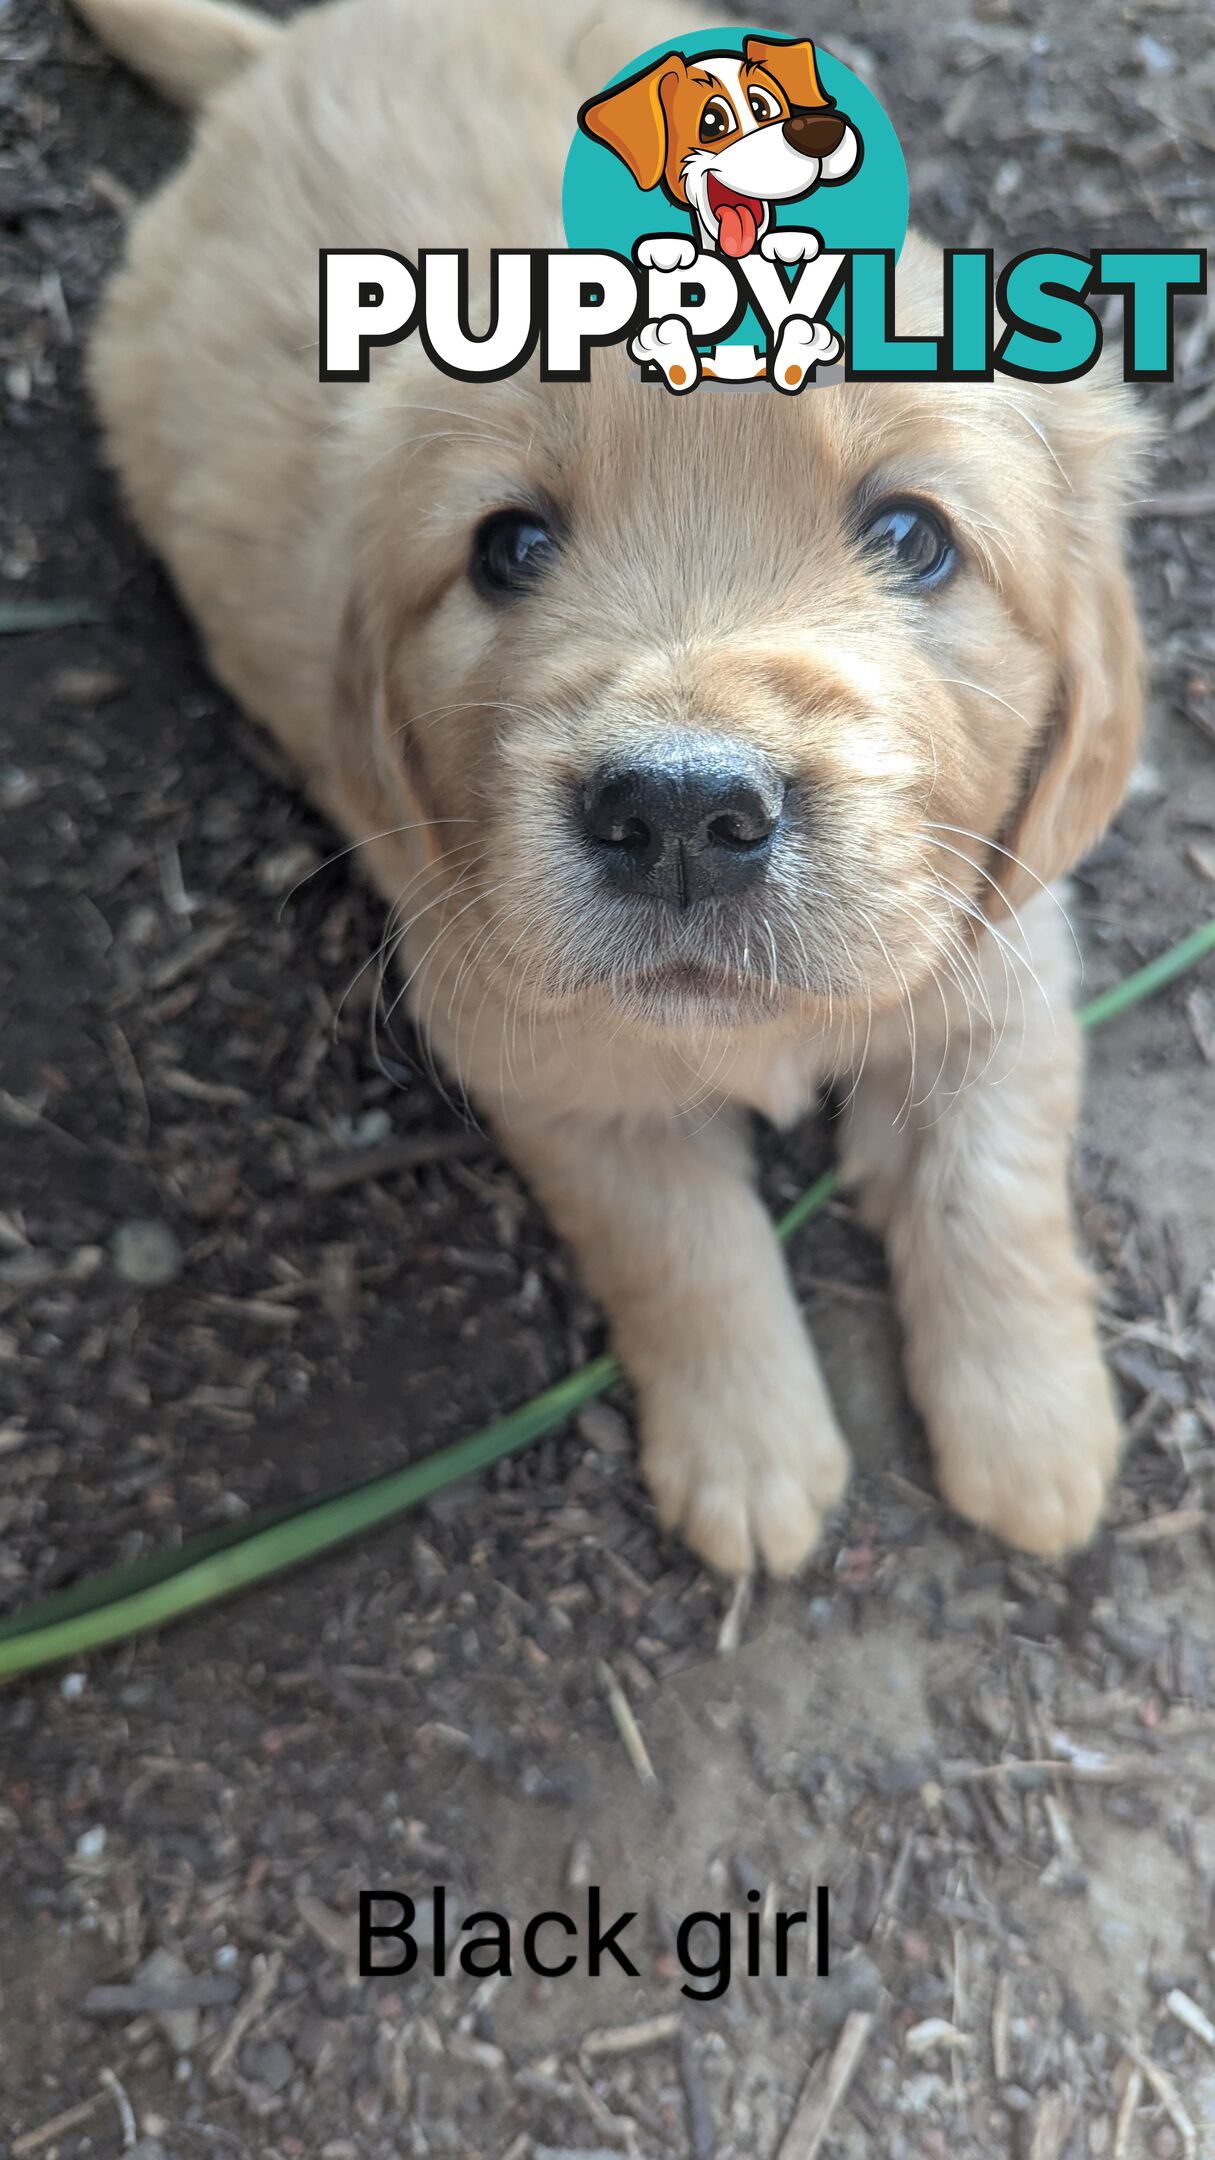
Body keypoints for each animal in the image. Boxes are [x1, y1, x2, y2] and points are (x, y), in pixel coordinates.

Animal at [75, 0, 1141, 1572]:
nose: (682, 816)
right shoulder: (534, 1052)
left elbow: (994, 1179)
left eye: (912, 536)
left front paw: (1037, 1432)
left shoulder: (1003, 944)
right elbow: (678, 1244)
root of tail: (291, 55)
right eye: (507, 547)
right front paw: (752, 1456)